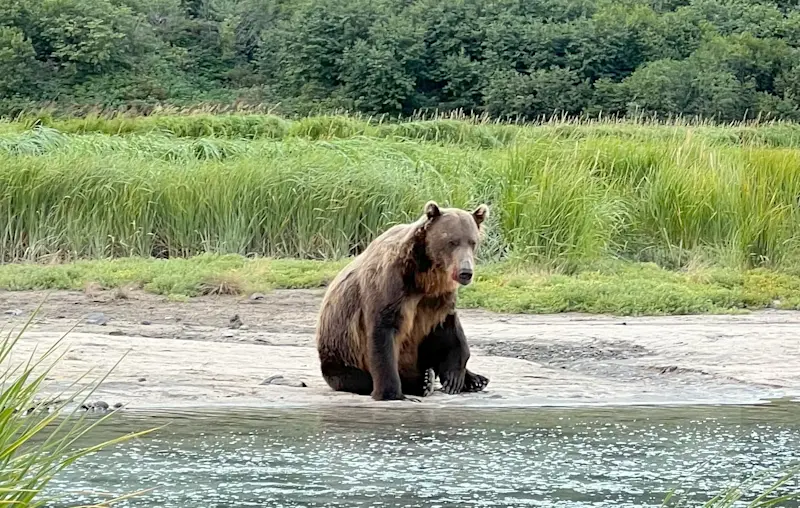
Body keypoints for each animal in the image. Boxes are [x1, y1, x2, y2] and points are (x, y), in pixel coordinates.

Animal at [315, 200, 490, 401]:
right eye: (452, 241)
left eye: (472, 242)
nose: (465, 272)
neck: (425, 277)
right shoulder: (390, 286)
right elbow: (383, 333)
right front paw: (392, 393)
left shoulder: (437, 299)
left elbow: (449, 328)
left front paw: (457, 377)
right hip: (341, 352)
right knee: (356, 377)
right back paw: (423, 382)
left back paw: (475, 379)